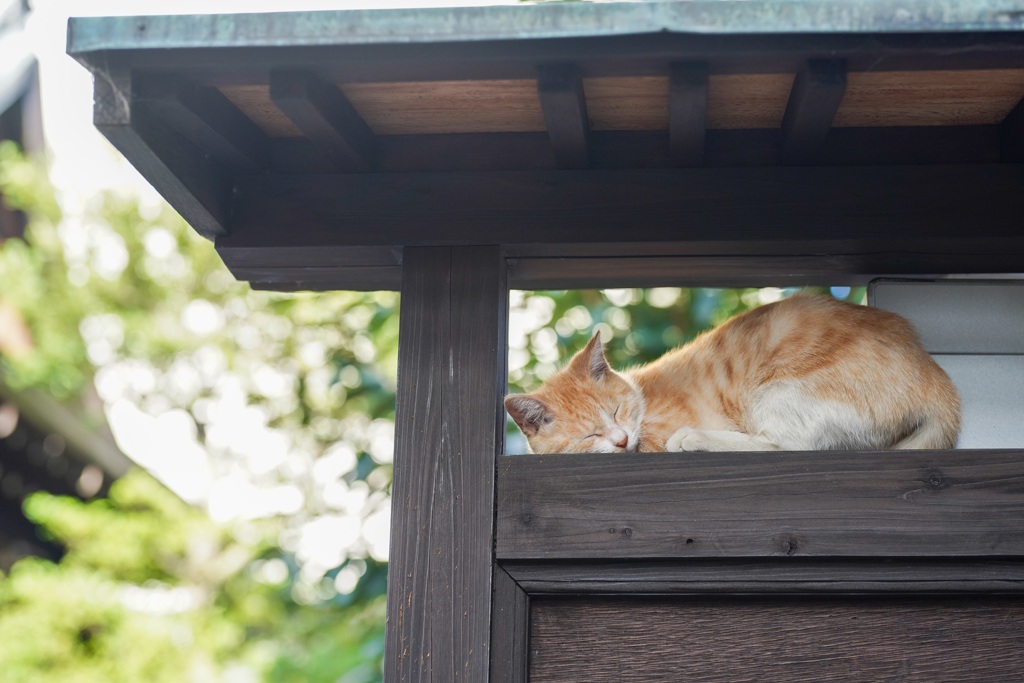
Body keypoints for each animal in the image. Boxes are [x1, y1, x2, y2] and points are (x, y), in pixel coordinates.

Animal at [503, 294, 958, 454]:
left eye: (616, 412)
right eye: (588, 434)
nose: (619, 440)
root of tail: (937, 381)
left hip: (778, 392)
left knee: (784, 446)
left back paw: (691, 440)